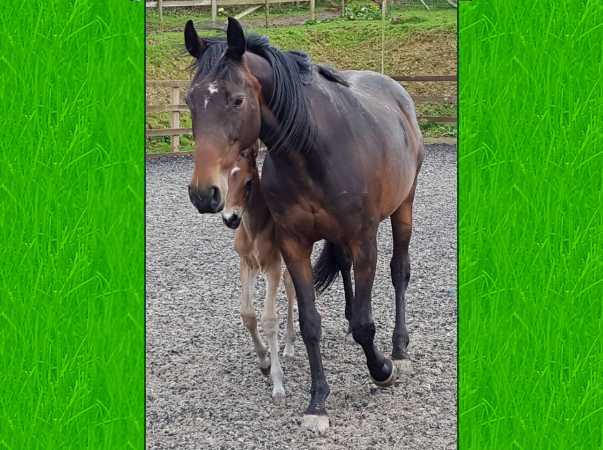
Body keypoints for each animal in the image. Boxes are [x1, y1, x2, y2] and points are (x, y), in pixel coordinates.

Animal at [222, 143, 298, 400]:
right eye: (225, 179)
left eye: (248, 182)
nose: (230, 218)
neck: (255, 229)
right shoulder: (247, 264)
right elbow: (248, 314)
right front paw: (263, 360)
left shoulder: (272, 265)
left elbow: (269, 319)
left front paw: (278, 382)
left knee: (293, 290)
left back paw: (290, 345)